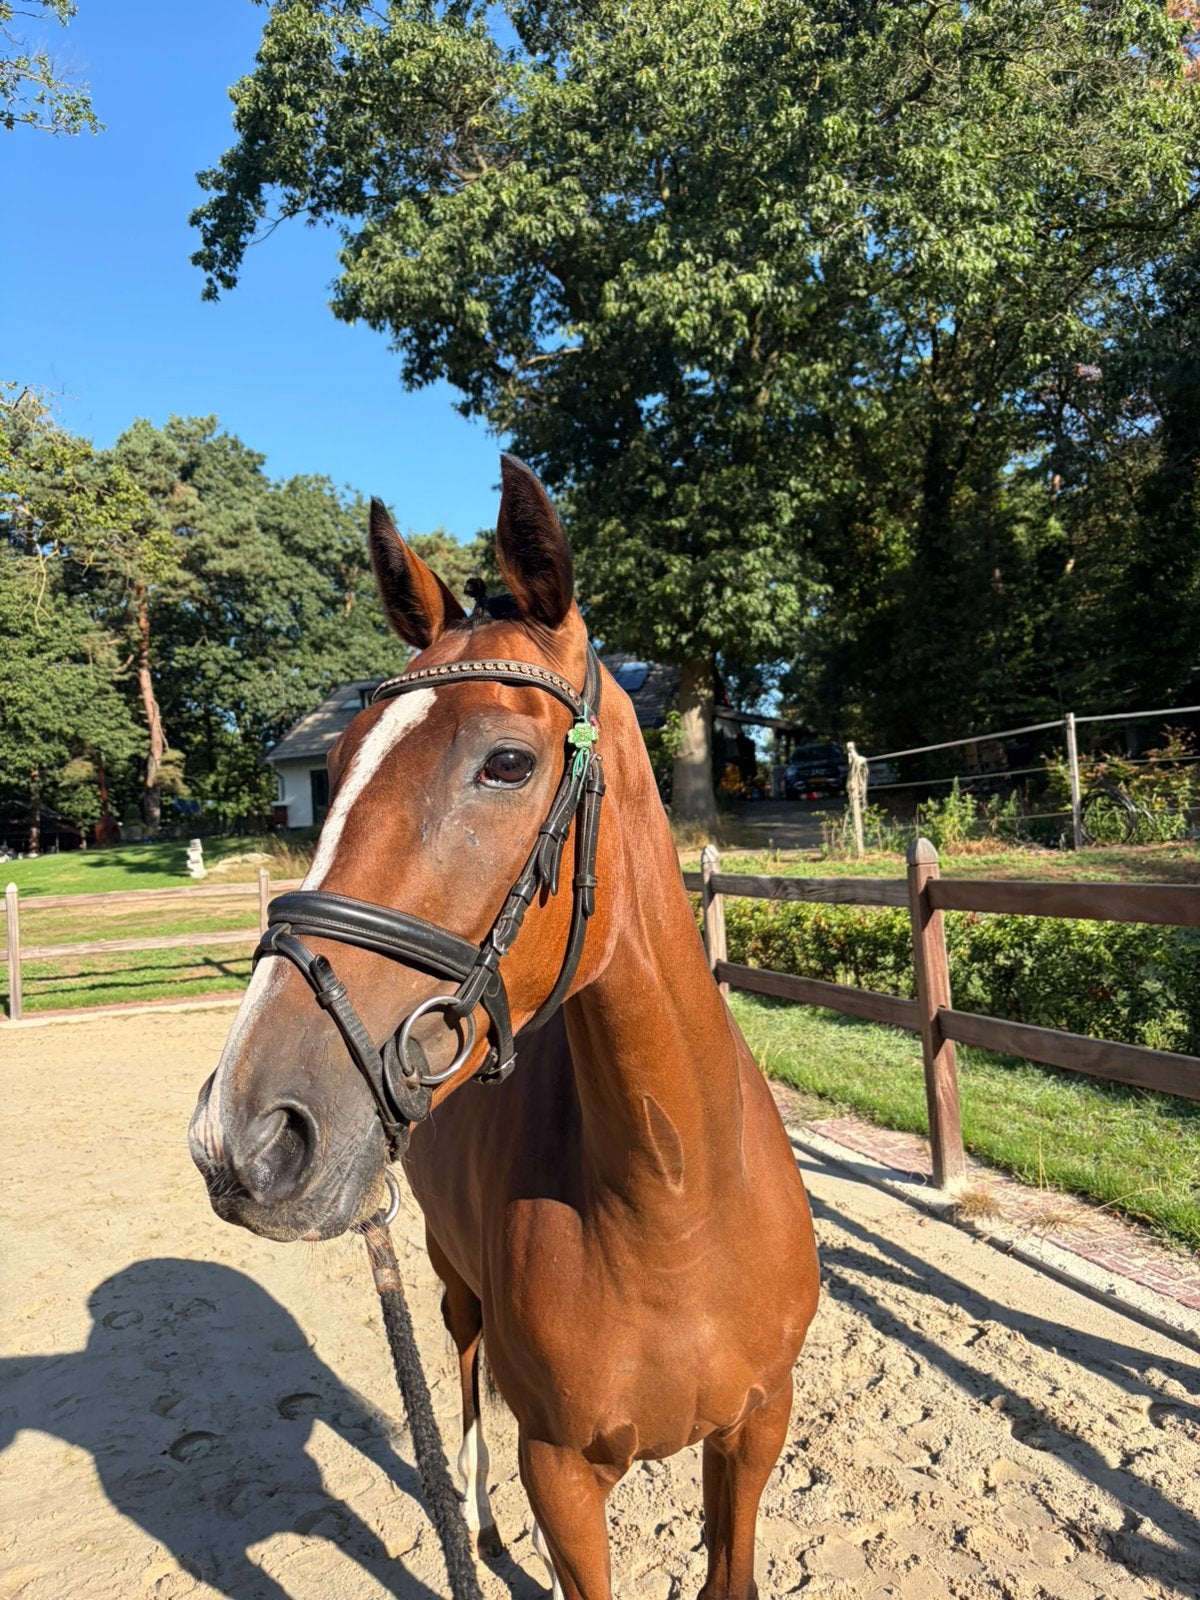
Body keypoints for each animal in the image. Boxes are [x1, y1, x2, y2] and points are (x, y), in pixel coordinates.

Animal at [189, 455, 820, 1600]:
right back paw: (476, 1525)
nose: (244, 1136)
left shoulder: (755, 1431)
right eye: (336, 766)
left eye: (508, 763)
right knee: (463, 1368)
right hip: (448, 1281)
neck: (678, 1204)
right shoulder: (562, 1475)